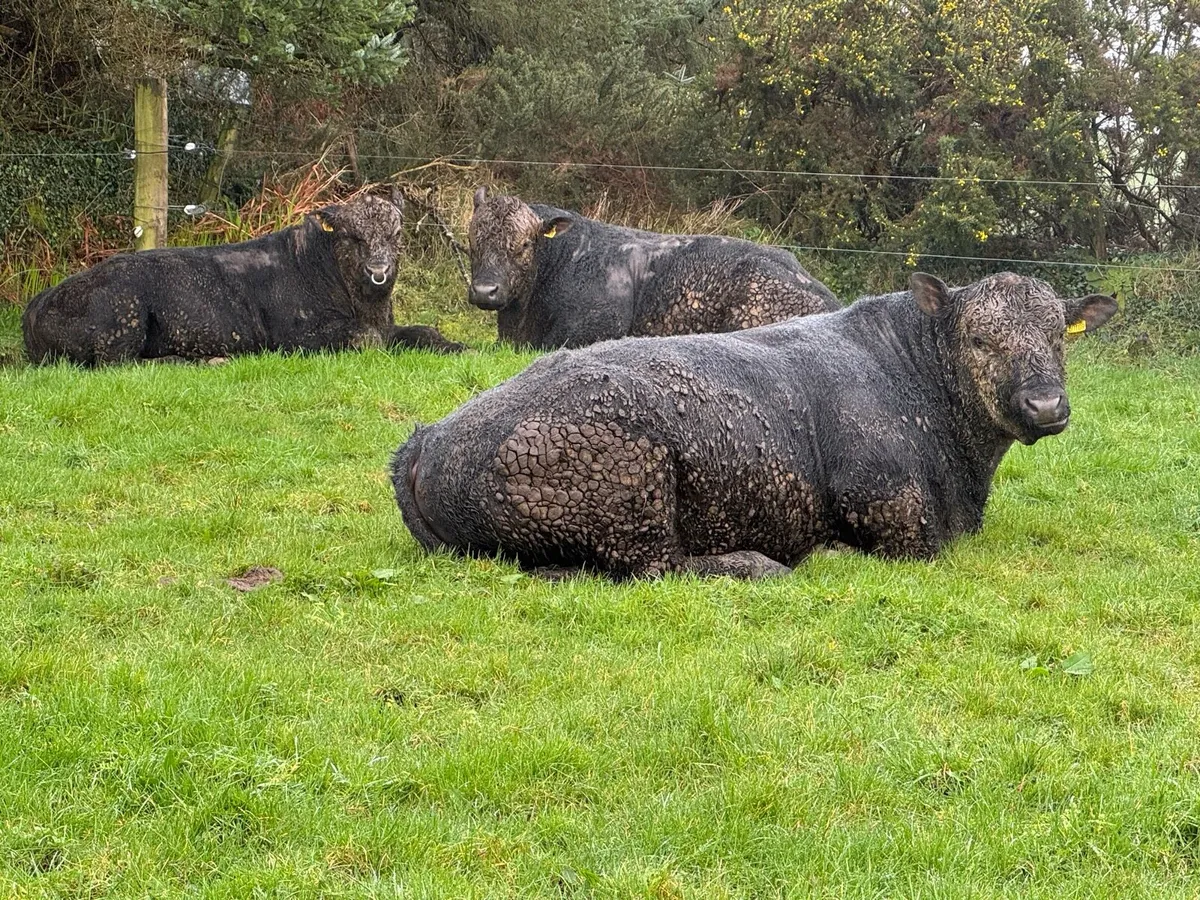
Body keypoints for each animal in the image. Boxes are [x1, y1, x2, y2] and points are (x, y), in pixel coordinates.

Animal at [22, 188, 463, 366]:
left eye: (396, 234)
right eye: (352, 237)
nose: (378, 272)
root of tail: (36, 304)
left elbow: (422, 330)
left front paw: (457, 345)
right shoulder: (301, 339)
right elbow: (369, 339)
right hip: (121, 321)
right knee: (120, 365)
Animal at [392, 272, 1117, 580]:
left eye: (1059, 336)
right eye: (979, 338)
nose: (1046, 405)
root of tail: (426, 439)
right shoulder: (891, 510)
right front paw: (827, 550)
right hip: (631, 489)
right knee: (655, 567)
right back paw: (756, 563)